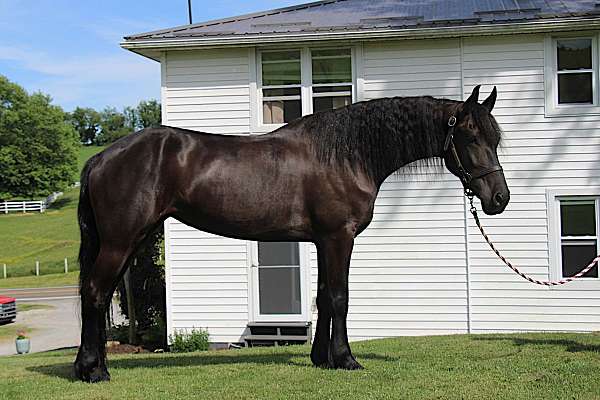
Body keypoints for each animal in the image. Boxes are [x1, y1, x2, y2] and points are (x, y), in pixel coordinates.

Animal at [72, 85, 508, 382]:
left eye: (496, 139)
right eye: (471, 137)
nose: (499, 198)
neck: (346, 155)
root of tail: (101, 157)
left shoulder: (322, 241)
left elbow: (323, 299)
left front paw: (321, 359)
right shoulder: (339, 238)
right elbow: (339, 298)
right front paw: (346, 359)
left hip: (129, 241)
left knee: (100, 295)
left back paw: (93, 365)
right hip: (119, 242)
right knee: (94, 292)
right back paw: (94, 371)